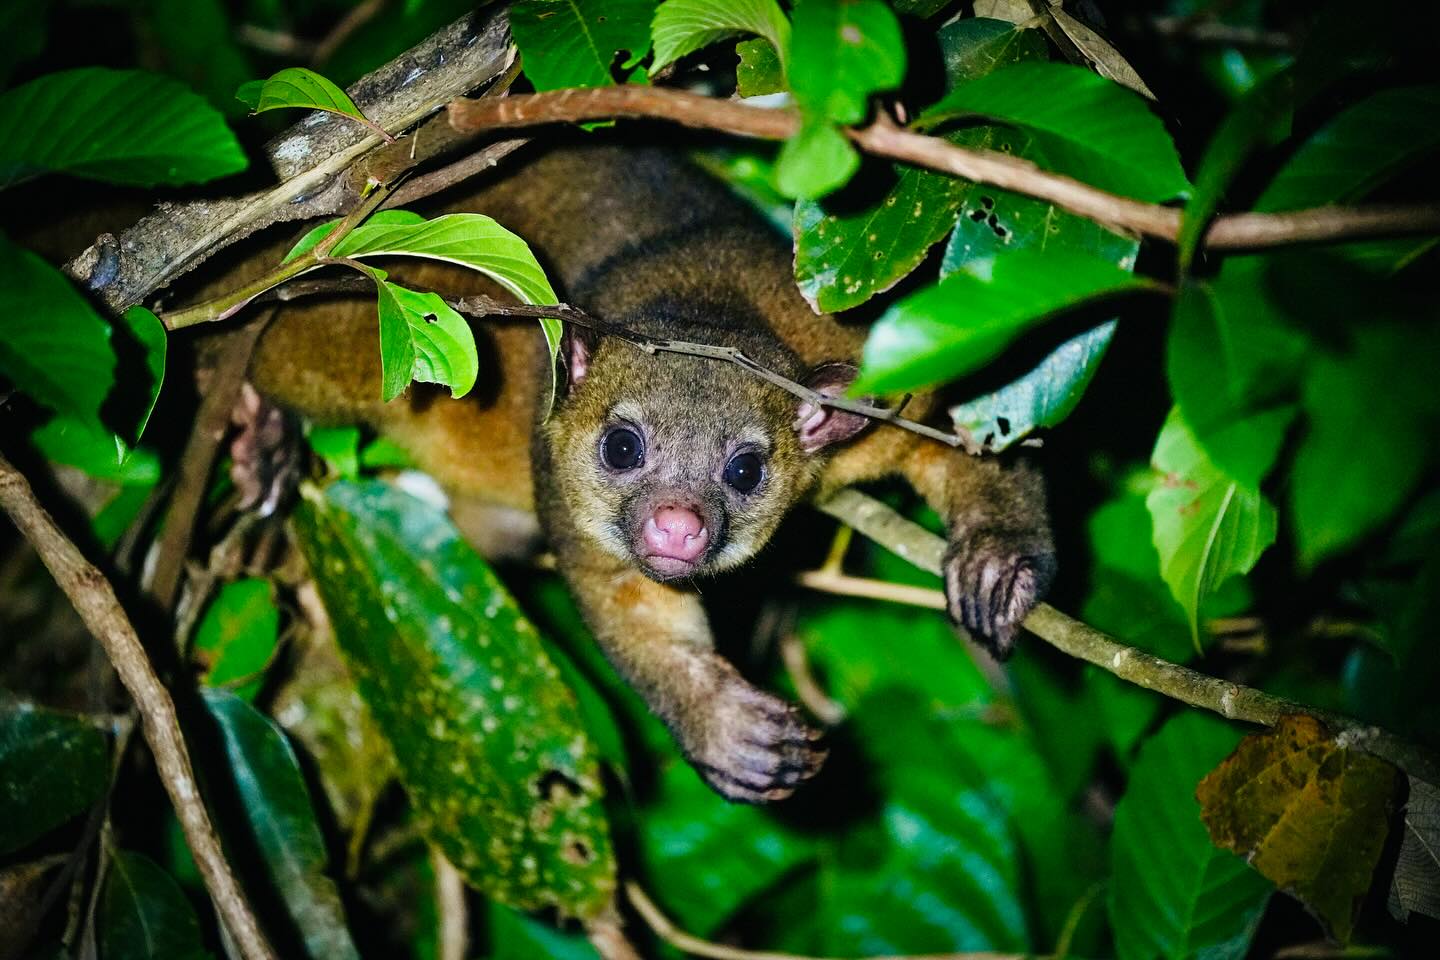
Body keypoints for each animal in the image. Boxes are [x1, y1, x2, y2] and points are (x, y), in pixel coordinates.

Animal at [234, 139, 1058, 803]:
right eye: (623, 449)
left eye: (745, 470)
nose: (676, 524)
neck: (706, 301)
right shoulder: (558, 467)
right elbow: (622, 595)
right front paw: (724, 729)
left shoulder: (855, 351)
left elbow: (966, 417)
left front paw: (997, 556)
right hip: (372, 304)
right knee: (295, 342)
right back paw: (260, 422)